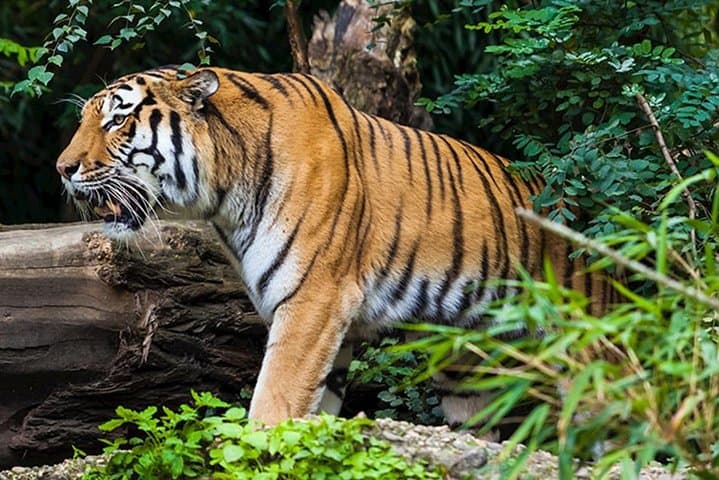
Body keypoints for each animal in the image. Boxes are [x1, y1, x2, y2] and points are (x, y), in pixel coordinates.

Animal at [56, 65, 615, 426]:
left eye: (117, 120)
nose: (63, 168)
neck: (223, 197)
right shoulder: (325, 323)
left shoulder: (313, 301)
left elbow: (273, 402)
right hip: (465, 370)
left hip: (590, 352)